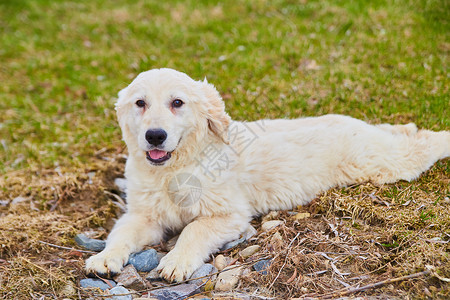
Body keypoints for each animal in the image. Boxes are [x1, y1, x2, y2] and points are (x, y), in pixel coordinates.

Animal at [85, 67, 450, 282]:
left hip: (383, 163)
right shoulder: (144, 215)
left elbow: (193, 231)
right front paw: (105, 258)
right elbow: (121, 234)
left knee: (420, 145)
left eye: (177, 103)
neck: (173, 170)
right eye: (140, 103)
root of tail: (357, 125)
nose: (155, 136)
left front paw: (177, 261)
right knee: (402, 132)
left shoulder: (229, 215)